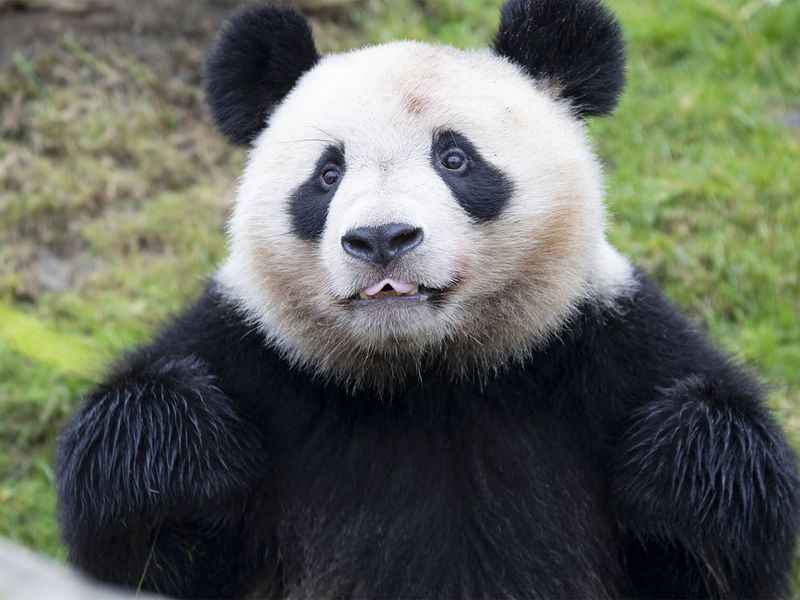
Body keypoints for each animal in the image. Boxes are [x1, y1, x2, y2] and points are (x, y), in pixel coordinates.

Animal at [56, 0, 800, 598]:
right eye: (328, 174)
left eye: (455, 159)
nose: (382, 239)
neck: (428, 376)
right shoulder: (255, 358)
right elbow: (138, 546)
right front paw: (176, 455)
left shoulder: (603, 348)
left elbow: (719, 526)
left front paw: (686, 471)